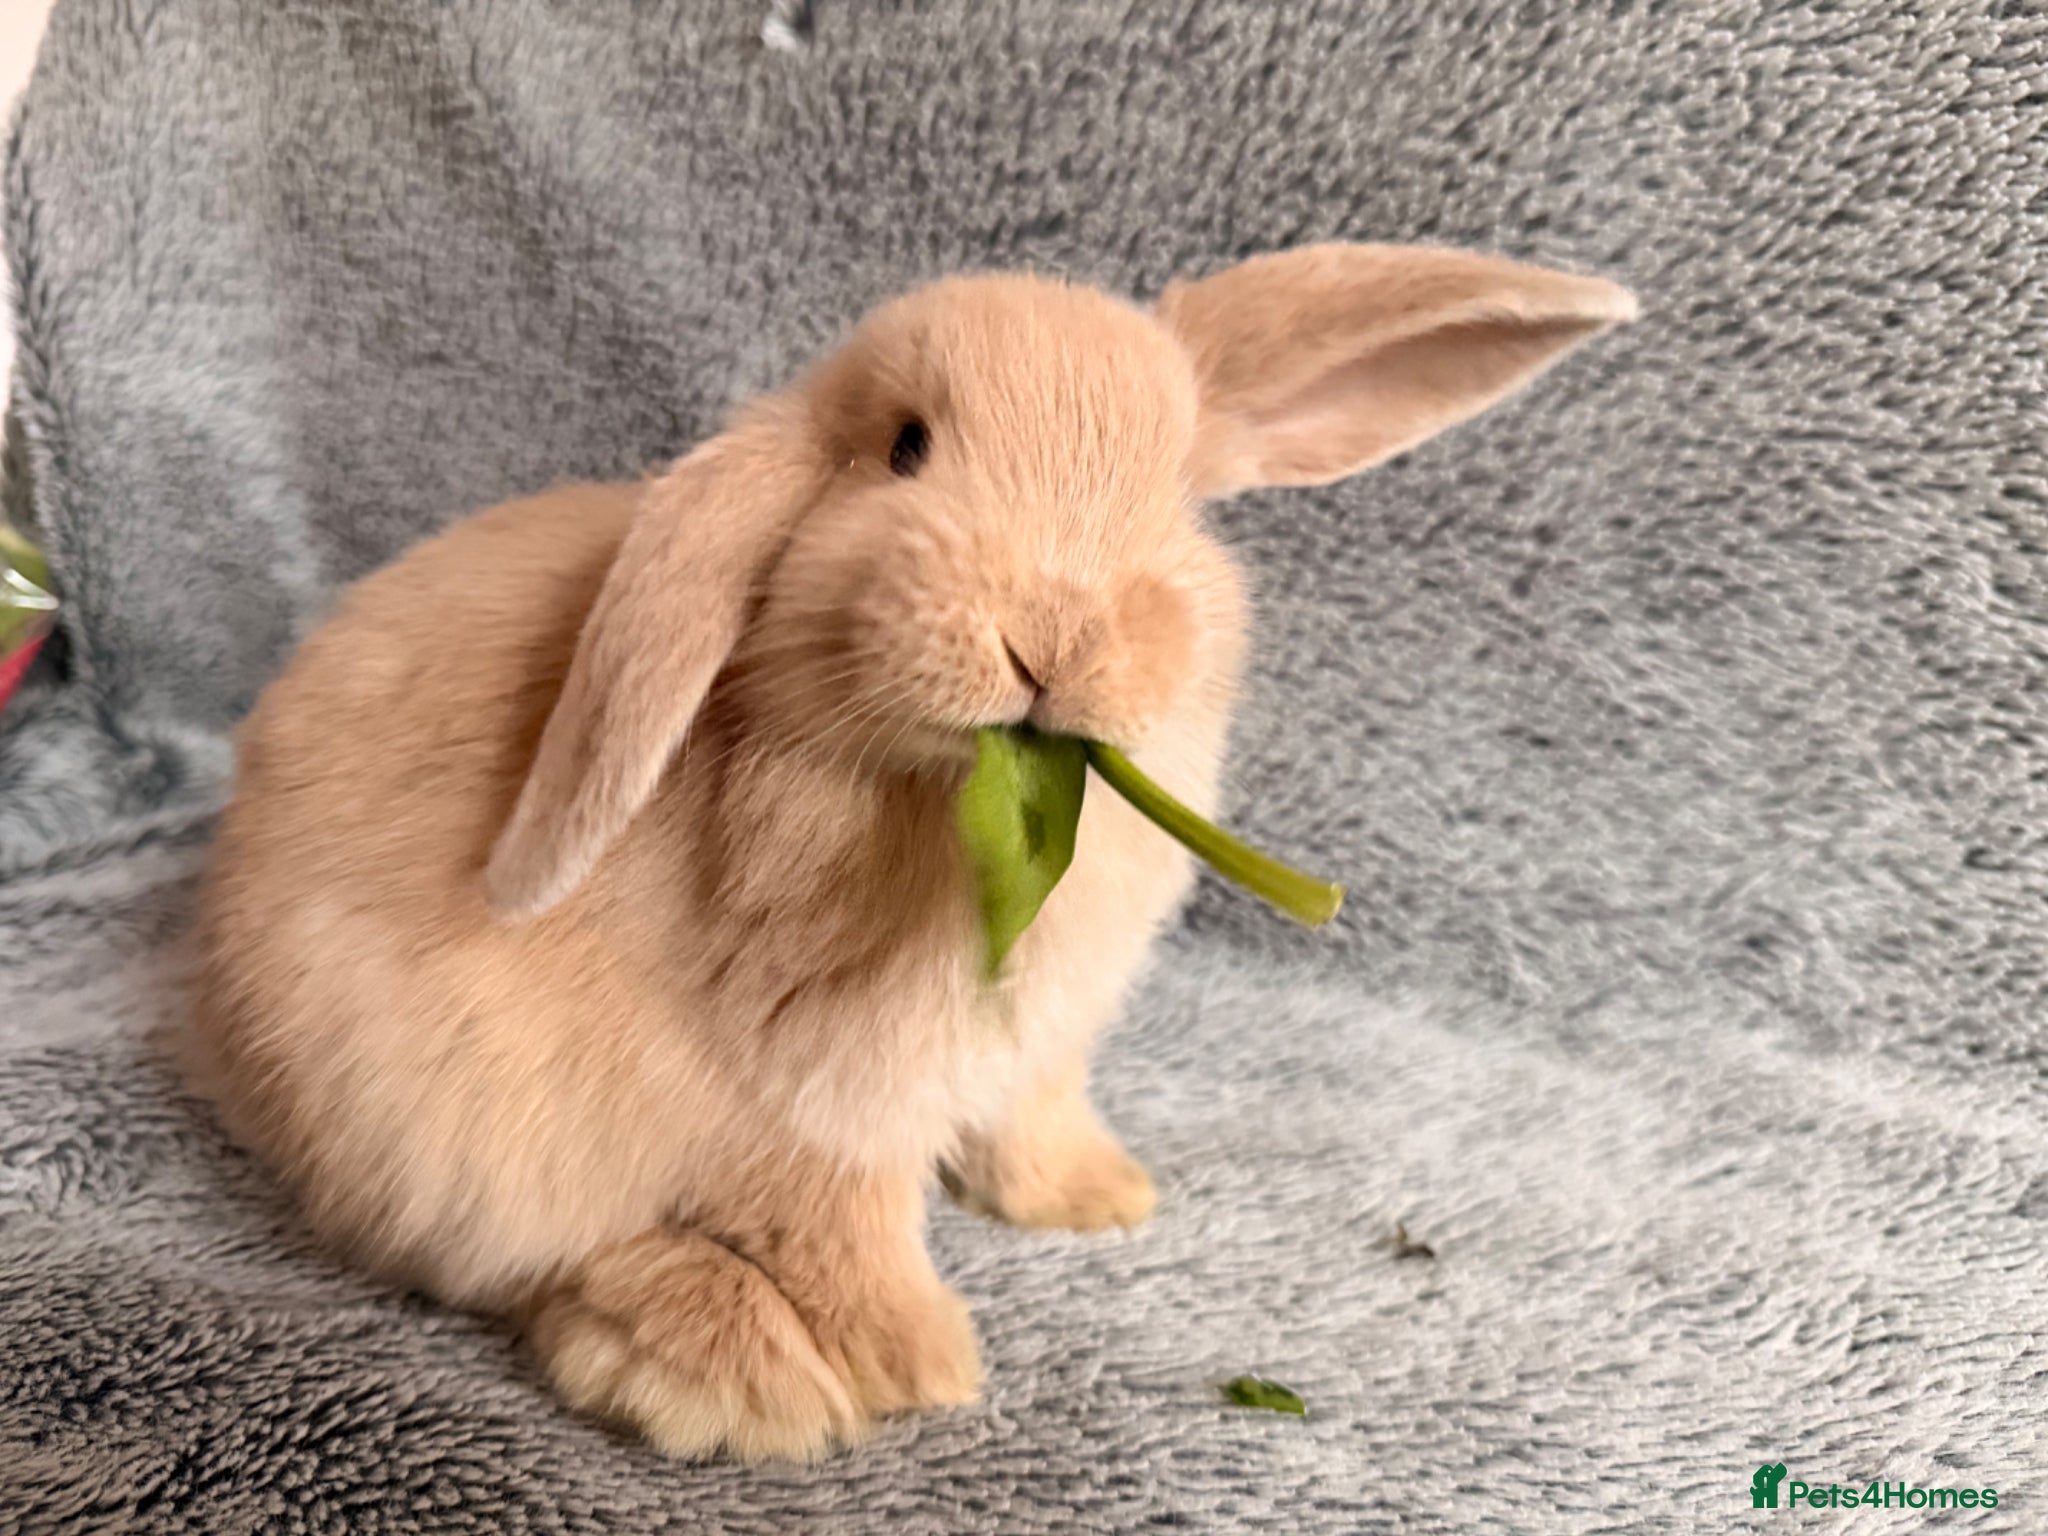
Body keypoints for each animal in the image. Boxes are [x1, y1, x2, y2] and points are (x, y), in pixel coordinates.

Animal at [189, 243, 1635, 1461]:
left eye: (1174, 494)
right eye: (904, 450)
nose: (1054, 633)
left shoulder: (1032, 1044)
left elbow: (1029, 1116)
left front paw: (1096, 1199)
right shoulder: (818, 1086)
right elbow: (841, 1217)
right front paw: (917, 1362)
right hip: (438, 1113)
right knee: (522, 1259)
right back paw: (728, 1377)